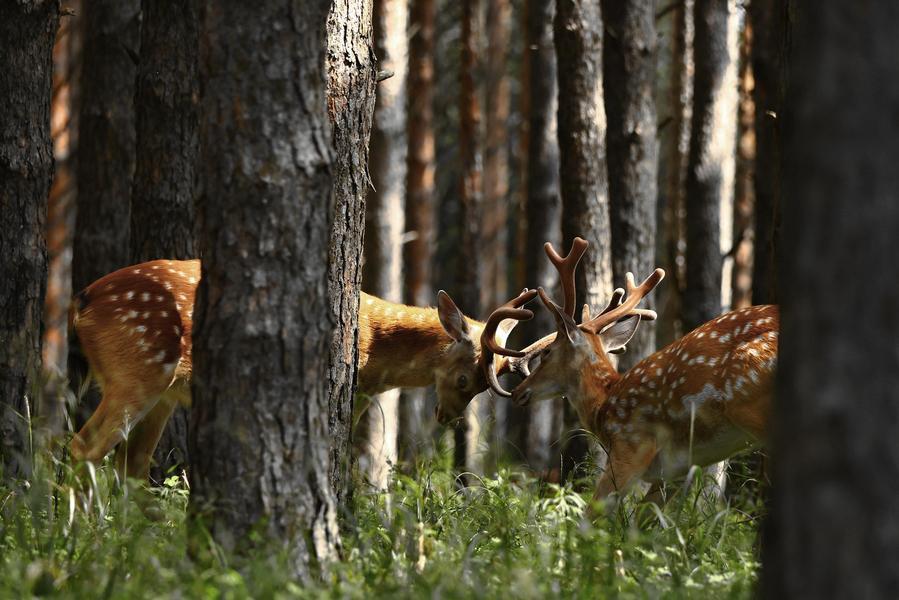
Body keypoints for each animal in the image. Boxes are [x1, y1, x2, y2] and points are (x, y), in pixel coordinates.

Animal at [68, 259, 533, 482]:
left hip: (162, 391)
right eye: (463, 378)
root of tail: (81, 302)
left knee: (130, 460)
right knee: (84, 447)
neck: (373, 342)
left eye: (482, 388)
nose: (448, 417)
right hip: (137, 372)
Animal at [480, 238, 778, 506]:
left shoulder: (631, 445)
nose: (518, 391)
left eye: (547, 352)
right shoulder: (676, 472)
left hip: (750, 403)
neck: (604, 407)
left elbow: (594, 514)